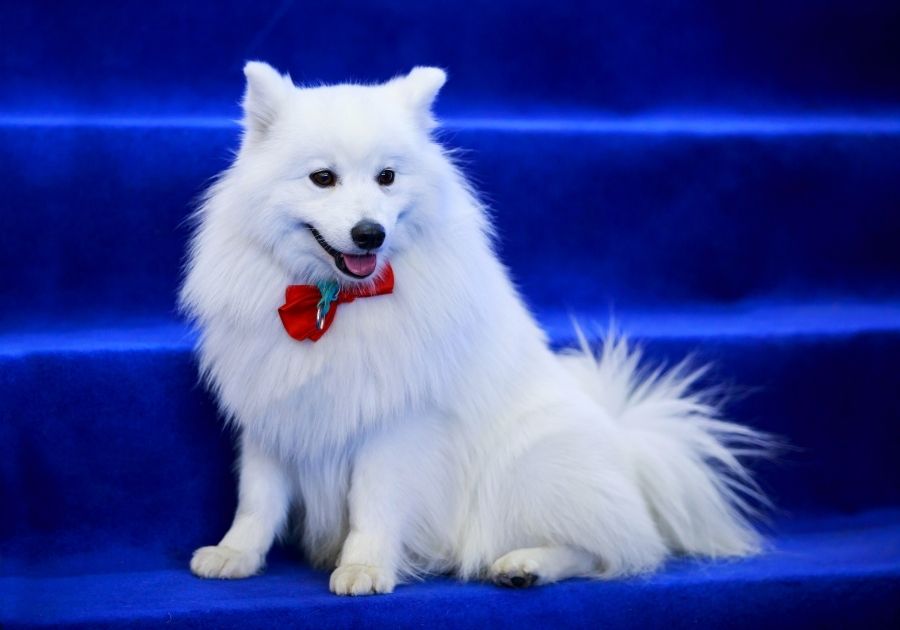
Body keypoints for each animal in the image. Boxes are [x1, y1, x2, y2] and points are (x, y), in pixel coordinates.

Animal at [181, 64, 768, 596]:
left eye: (387, 177)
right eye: (322, 178)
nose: (370, 234)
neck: (332, 303)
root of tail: (626, 448)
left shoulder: (395, 425)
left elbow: (373, 503)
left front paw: (364, 568)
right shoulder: (270, 410)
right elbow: (257, 499)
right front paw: (235, 554)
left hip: (526, 469)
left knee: (607, 550)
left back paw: (525, 565)